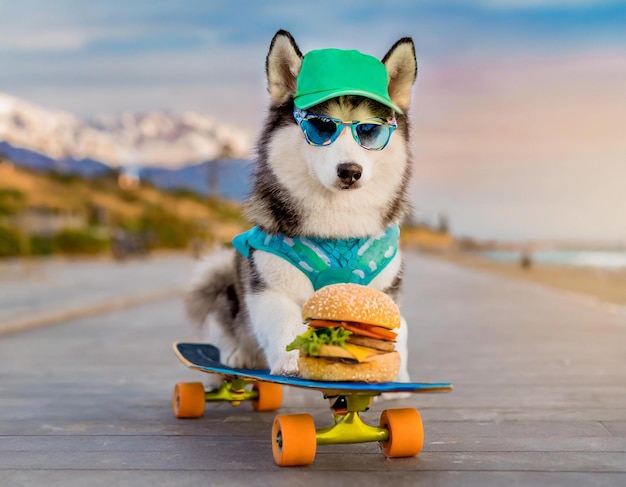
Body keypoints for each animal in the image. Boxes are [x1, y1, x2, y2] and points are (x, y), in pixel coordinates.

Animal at [186, 29, 420, 382]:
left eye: (369, 130)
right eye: (322, 126)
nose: (350, 171)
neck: (337, 227)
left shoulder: (386, 291)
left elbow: (399, 330)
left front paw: (395, 376)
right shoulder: (268, 285)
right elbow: (284, 323)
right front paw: (294, 362)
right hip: (228, 282)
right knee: (225, 323)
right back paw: (236, 354)